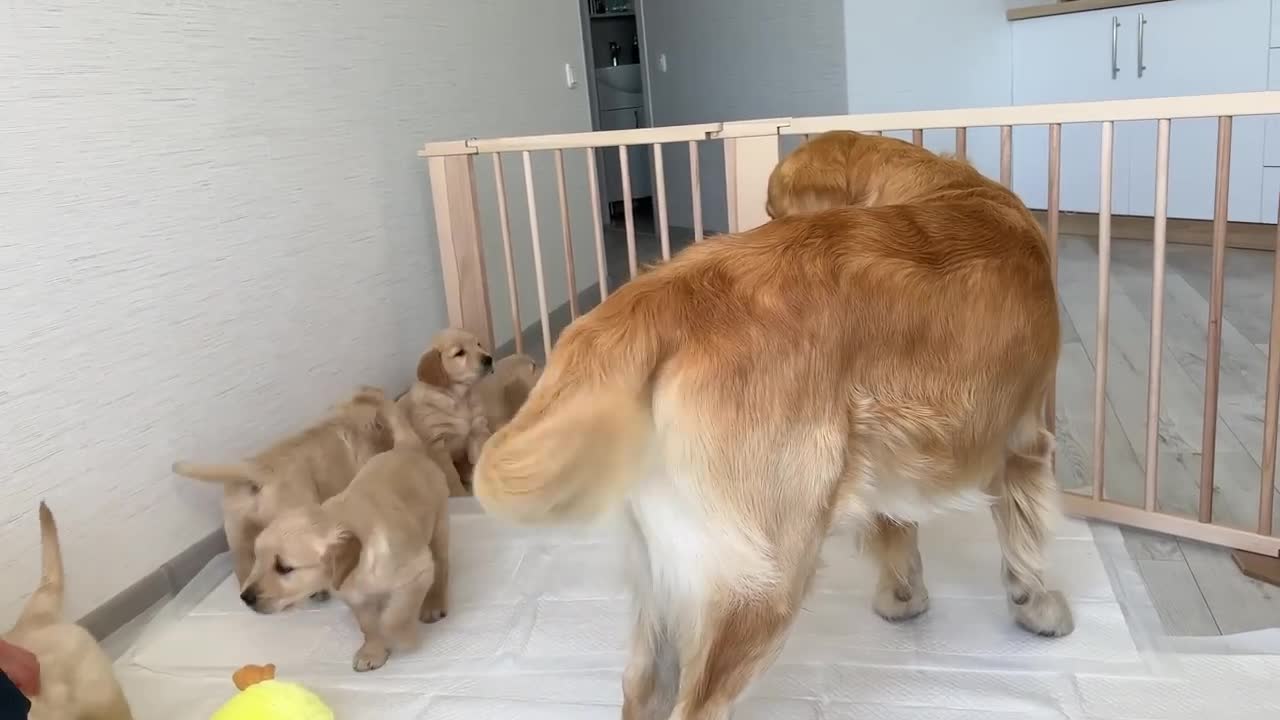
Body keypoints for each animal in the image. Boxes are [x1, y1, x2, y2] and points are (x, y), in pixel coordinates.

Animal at [241, 397, 453, 666]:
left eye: (285, 568)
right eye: (257, 558)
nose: (245, 597)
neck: (357, 568)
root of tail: (407, 447)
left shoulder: (417, 572)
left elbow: (393, 618)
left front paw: (403, 637)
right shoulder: (355, 599)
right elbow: (368, 625)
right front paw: (373, 652)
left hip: (439, 526)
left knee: (442, 565)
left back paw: (433, 604)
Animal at [396, 326, 496, 489]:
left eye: (478, 344)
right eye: (459, 353)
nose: (489, 359)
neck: (460, 397)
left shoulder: (477, 431)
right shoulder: (438, 446)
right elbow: (451, 478)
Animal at [476, 133, 1064, 717]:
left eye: (772, 210)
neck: (947, 187)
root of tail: (659, 298)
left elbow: (897, 525)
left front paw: (902, 598)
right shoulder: (1025, 441)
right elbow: (1025, 535)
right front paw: (1038, 605)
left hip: (666, 565)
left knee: (642, 686)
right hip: (767, 576)